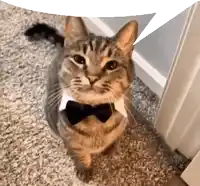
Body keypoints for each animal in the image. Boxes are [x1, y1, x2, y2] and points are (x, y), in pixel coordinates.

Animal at [24, 16, 138, 182]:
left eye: (112, 65)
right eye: (79, 59)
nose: (92, 77)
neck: (95, 113)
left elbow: (114, 137)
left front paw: (110, 147)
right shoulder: (72, 141)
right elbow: (81, 155)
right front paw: (84, 169)